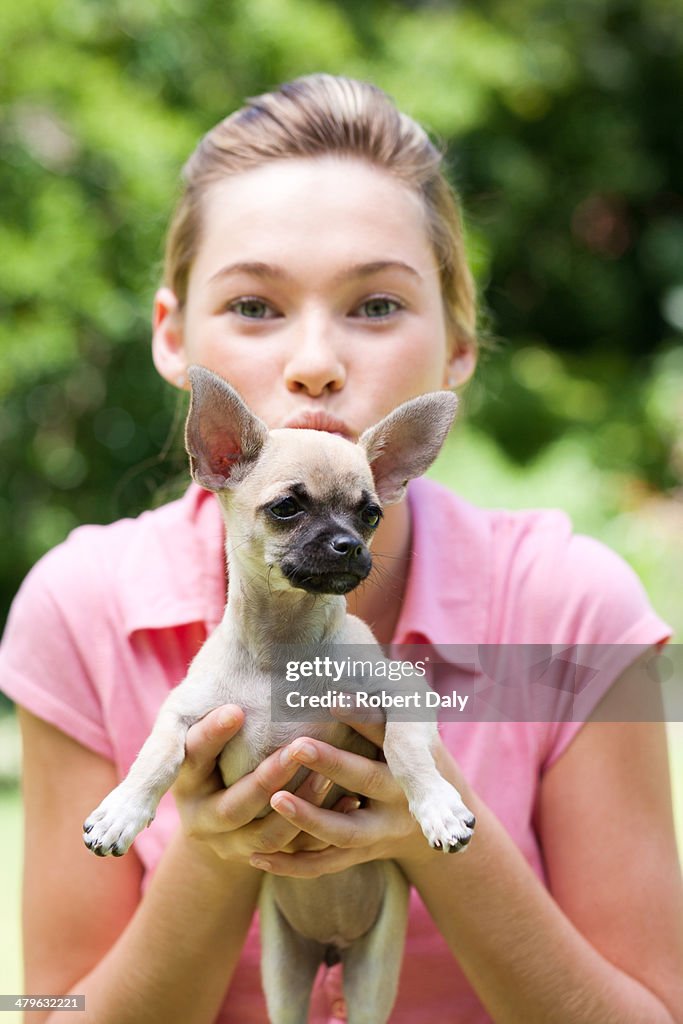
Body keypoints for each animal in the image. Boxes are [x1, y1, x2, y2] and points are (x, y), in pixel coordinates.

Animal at [82, 368, 473, 1024]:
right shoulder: (183, 713)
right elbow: (154, 758)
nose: (349, 544)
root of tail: (331, 947)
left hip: (372, 972)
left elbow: (405, 748)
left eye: (371, 515)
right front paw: (121, 811)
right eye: (287, 508)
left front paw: (437, 806)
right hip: (283, 970)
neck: (282, 646)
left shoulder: (405, 695)